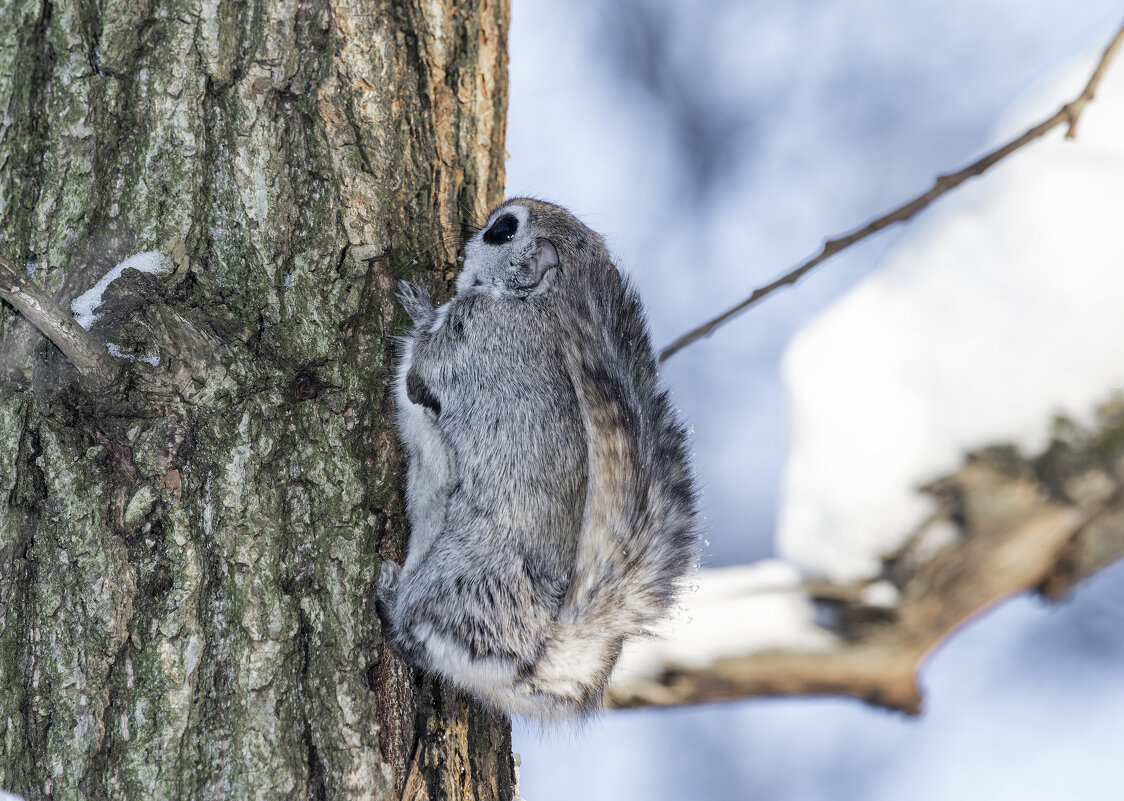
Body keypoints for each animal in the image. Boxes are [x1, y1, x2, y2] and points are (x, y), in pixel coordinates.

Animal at [377, 195, 696, 718]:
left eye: (504, 230)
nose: (471, 224)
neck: (536, 304)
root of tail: (550, 648)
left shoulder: (470, 335)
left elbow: (419, 375)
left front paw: (418, 307)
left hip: (459, 579)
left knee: (416, 629)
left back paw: (388, 598)